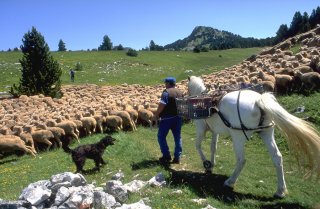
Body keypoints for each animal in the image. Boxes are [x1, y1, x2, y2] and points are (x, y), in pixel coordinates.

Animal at [188, 75, 320, 198]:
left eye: (188, 88)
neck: (203, 99)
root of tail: (258, 101)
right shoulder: (215, 131)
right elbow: (213, 148)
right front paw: (211, 165)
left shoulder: (200, 128)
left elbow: (197, 145)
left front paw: (206, 163)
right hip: (267, 133)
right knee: (277, 157)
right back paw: (280, 190)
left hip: (238, 137)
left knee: (241, 160)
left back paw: (230, 181)